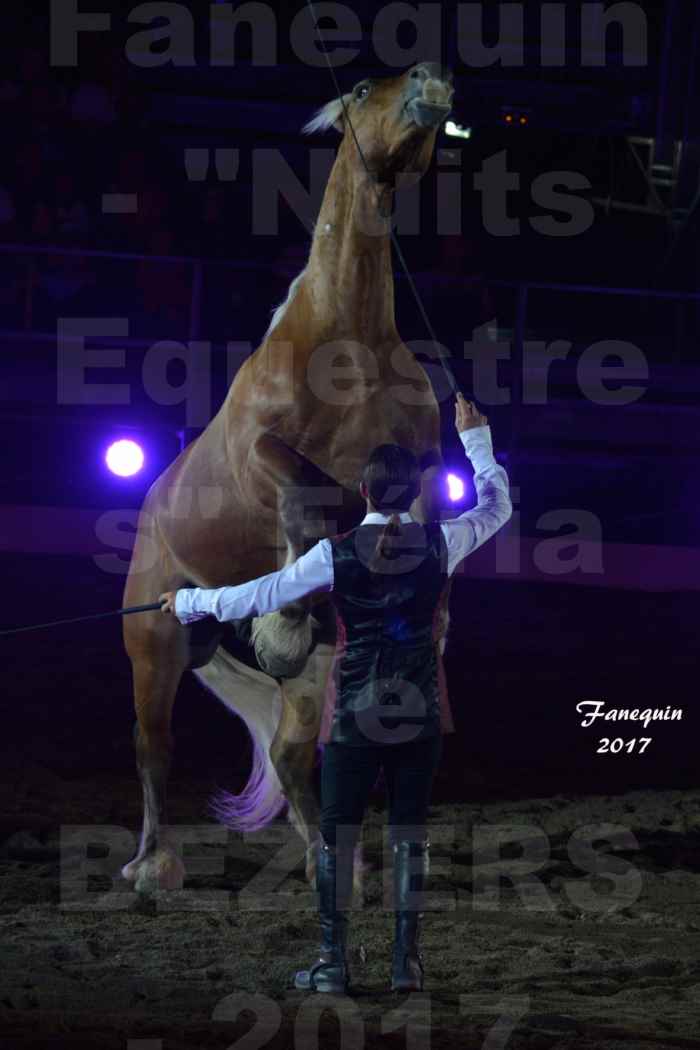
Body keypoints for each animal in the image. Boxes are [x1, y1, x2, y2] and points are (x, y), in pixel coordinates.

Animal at [120, 61, 455, 890]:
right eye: (365, 86)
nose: (431, 78)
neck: (348, 339)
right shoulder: (259, 456)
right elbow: (304, 491)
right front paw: (282, 626)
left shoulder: (427, 462)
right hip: (154, 645)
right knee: (154, 749)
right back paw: (152, 864)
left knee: (291, 750)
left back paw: (334, 862)